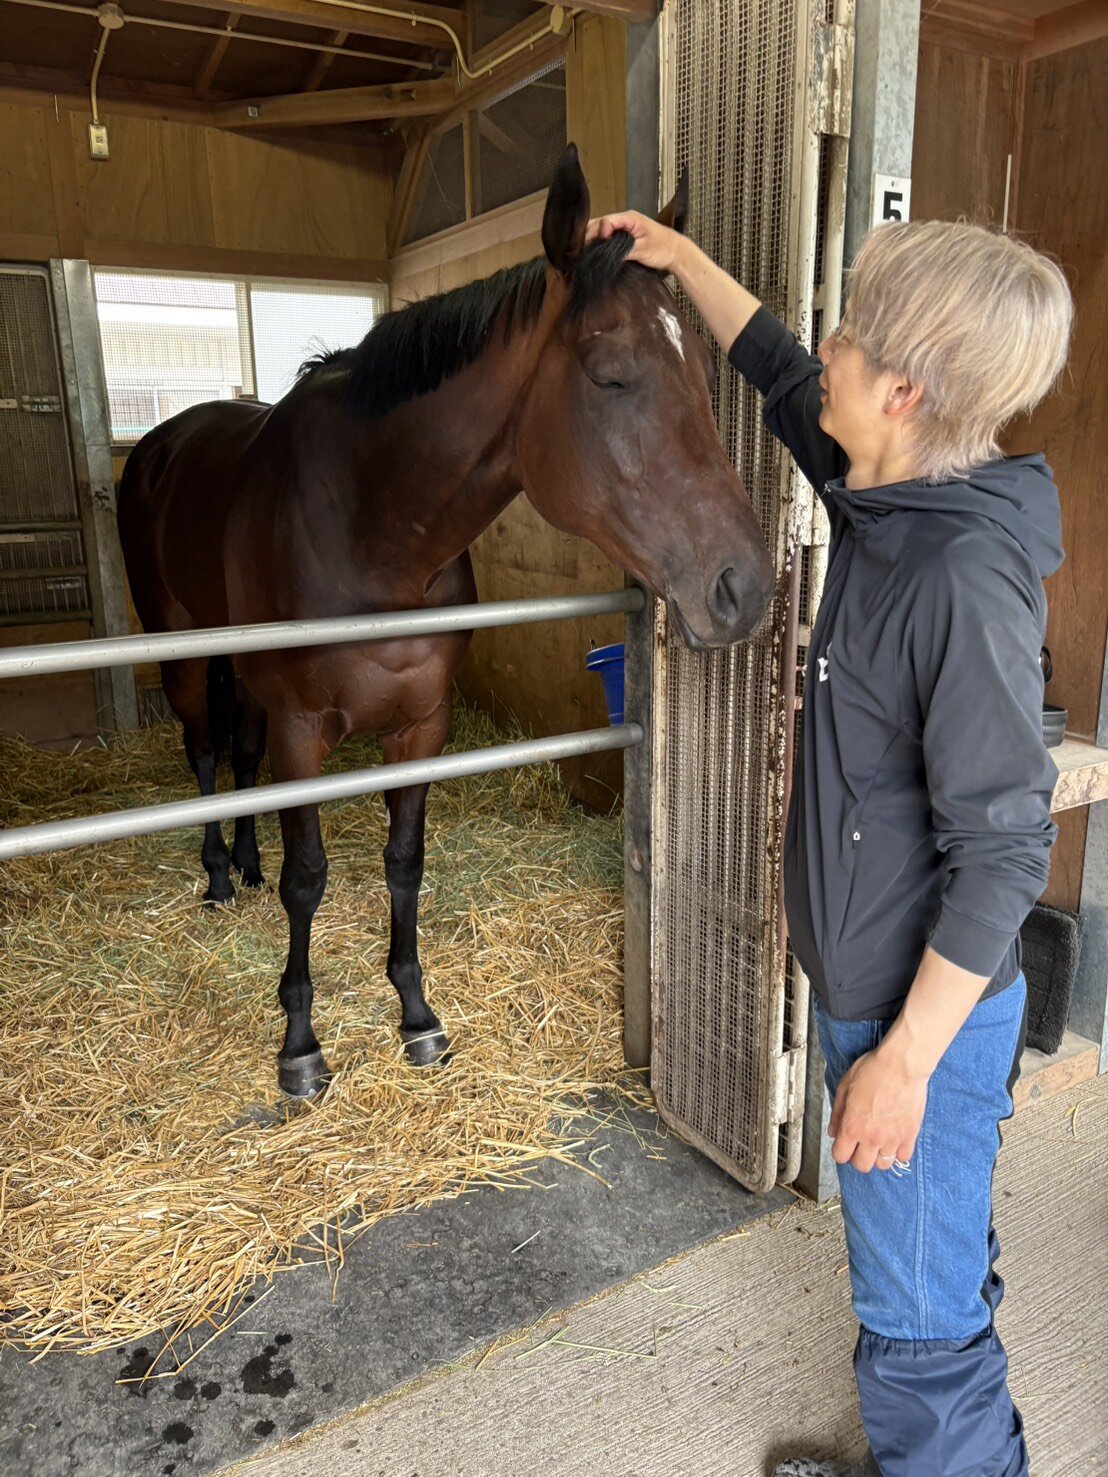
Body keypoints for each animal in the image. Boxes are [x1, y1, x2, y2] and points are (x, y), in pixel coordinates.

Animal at [117, 144, 775, 1098]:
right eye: (610, 373)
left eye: (702, 373)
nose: (746, 588)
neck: (369, 524)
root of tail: (163, 445)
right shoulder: (303, 730)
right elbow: (309, 877)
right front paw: (300, 1043)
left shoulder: (421, 723)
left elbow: (404, 863)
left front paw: (417, 1016)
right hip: (178, 648)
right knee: (205, 753)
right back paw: (216, 874)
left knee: (236, 757)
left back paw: (241, 859)